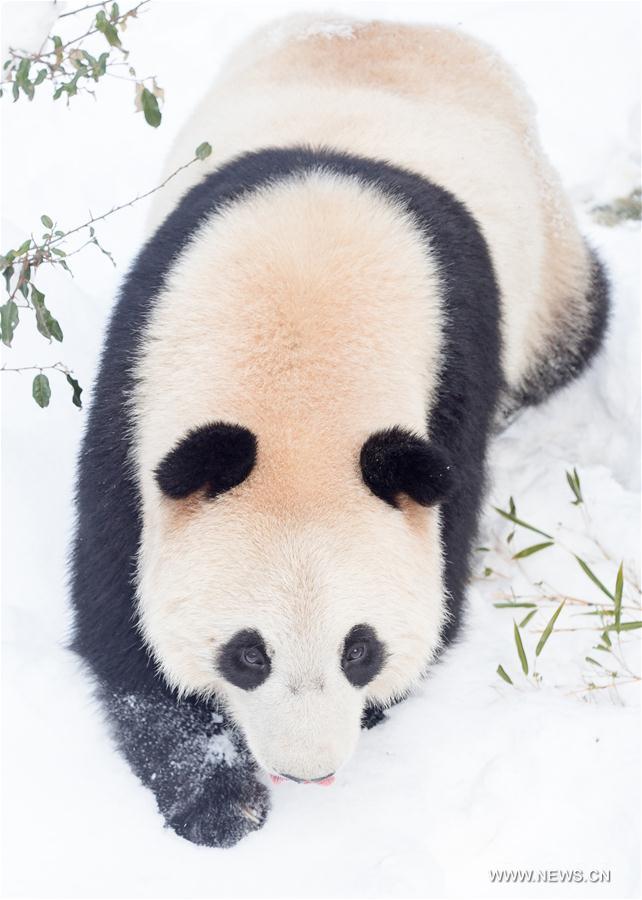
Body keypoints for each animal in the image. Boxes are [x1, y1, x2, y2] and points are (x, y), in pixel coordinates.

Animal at [70, 12, 604, 844]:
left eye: (360, 649)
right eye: (247, 655)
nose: (306, 770)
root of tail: (401, 24)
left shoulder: (453, 390)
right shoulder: (138, 380)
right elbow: (117, 612)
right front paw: (217, 800)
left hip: (549, 271)